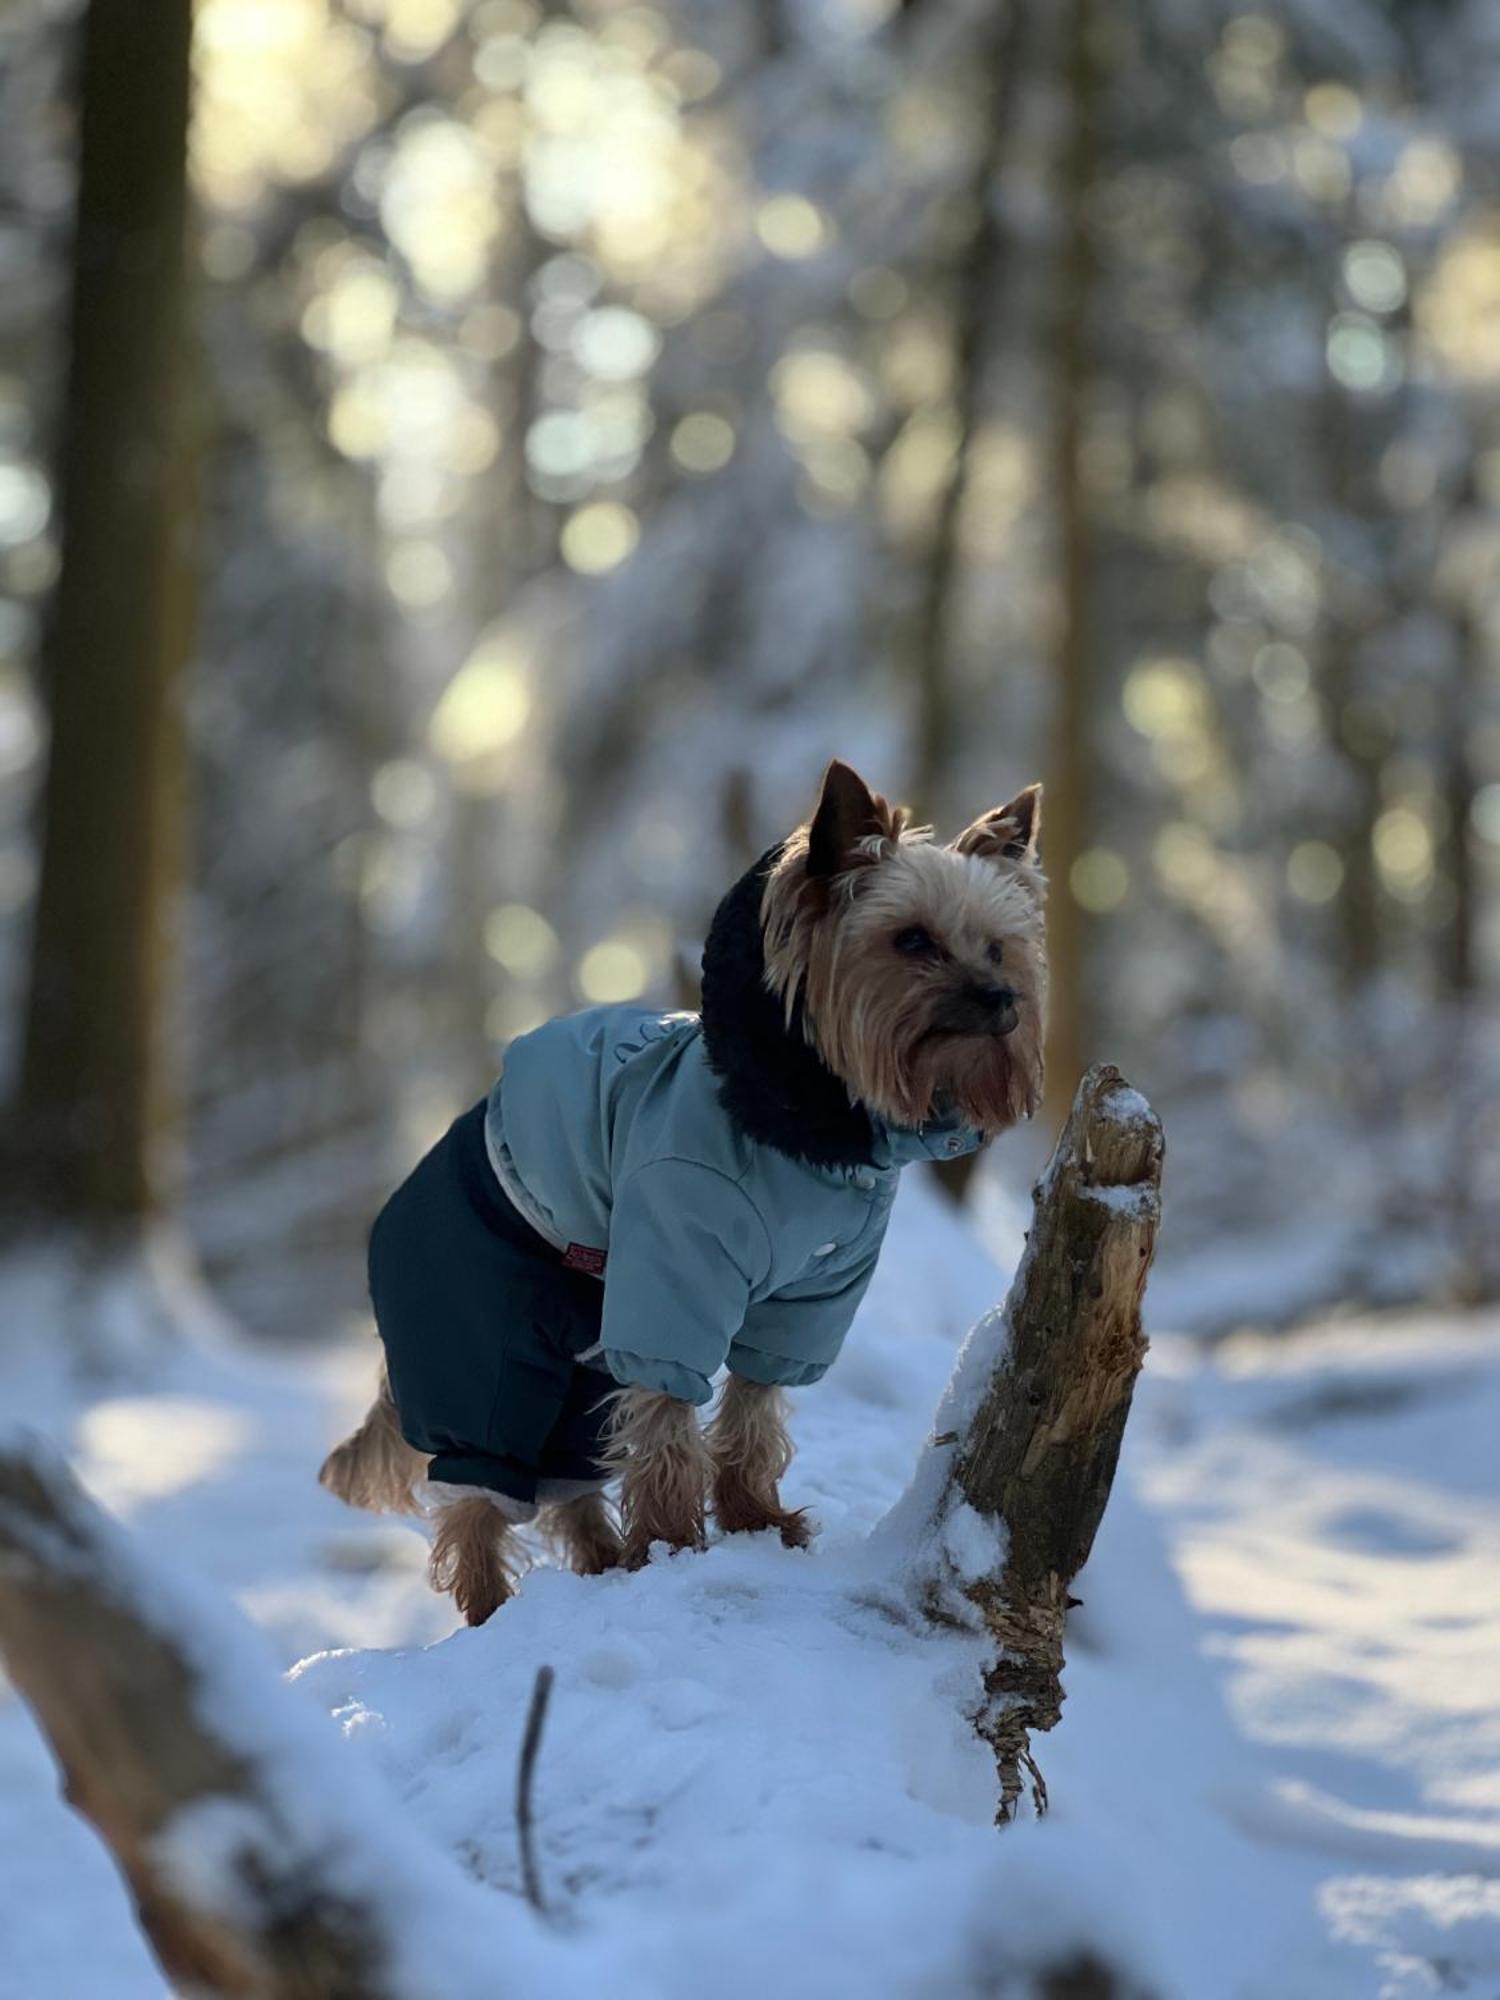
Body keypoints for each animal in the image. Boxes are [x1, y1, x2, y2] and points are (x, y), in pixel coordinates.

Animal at [320, 756, 1048, 1616]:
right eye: (911, 940)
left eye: (998, 949)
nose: (1001, 1000)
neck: (808, 1135)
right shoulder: (674, 1273)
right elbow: (667, 1413)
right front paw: (672, 1542)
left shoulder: (807, 1300)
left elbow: (753, 1409)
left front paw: (754, 1521)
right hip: (478, 1318)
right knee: (481, 1479)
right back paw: (490, 1600)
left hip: (580, 1333)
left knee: (569, 1474)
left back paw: (603, 1564)